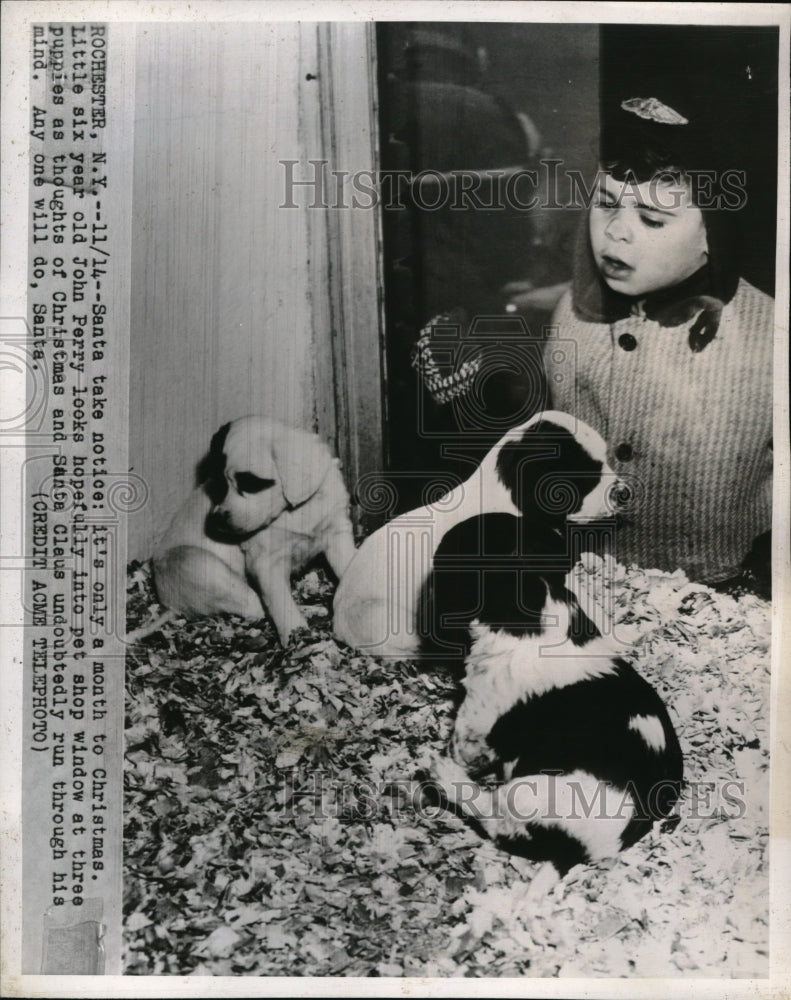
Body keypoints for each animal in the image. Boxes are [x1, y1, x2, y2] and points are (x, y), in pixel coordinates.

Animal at [154, 414, 356, 640]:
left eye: (250, 484)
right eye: (221, 483)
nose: (216, 520)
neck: (295, 511)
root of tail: (170, 605)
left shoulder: (337, 532)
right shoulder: (265, 562)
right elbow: (279, 601)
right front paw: (295, 633)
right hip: (197, 565)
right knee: (256, 607)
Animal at [424, 512, 684, 872]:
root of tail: (580, 854)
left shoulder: (476, 721)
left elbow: (463, 748)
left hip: (525, 793)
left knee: (493, 818)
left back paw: (445, 777)